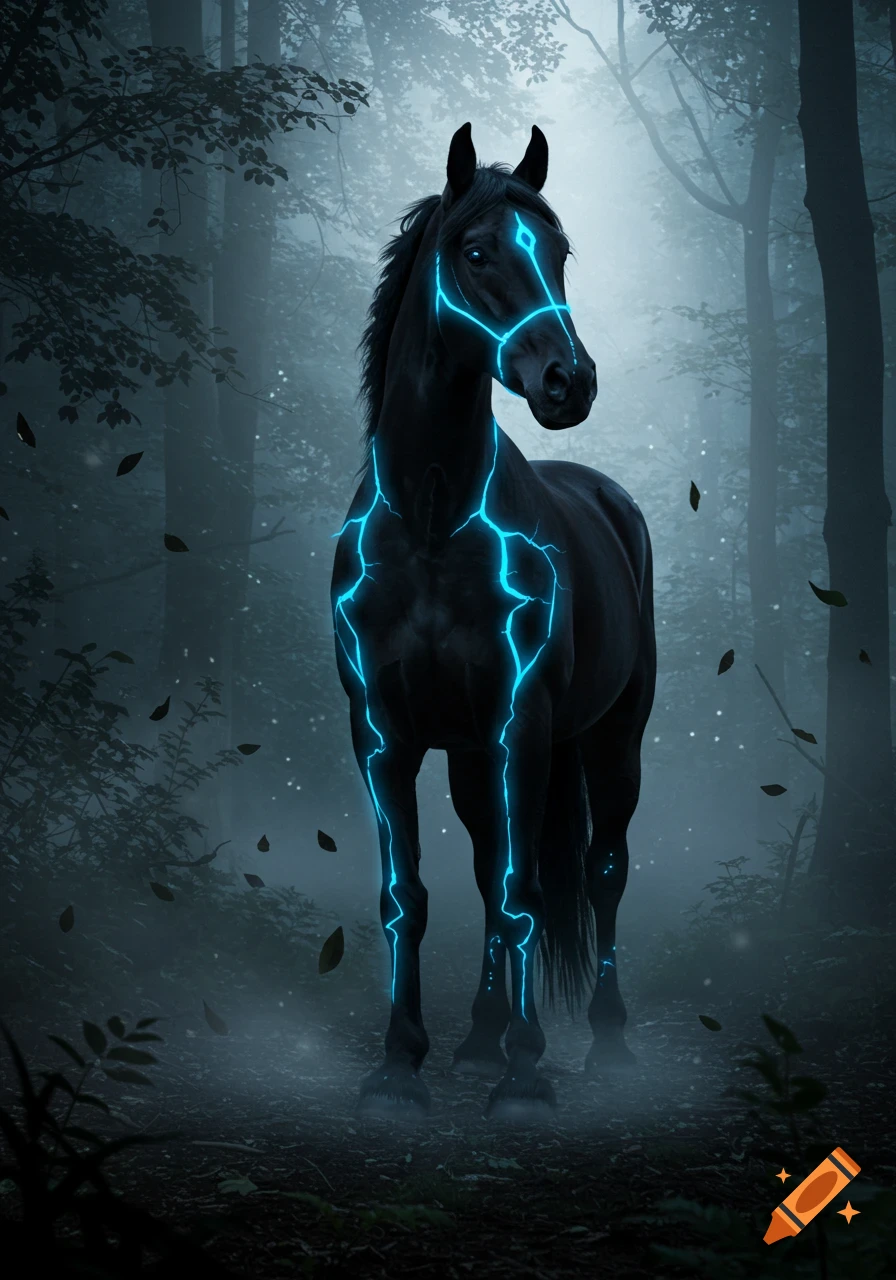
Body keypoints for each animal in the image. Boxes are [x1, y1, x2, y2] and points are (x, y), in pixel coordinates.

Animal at [331, 122, 655, 1122]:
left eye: (559, 253)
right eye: (475, 254)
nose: (568, 382)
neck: (434, 523)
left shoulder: (524, 727)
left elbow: (523, 893)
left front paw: (524, 1075)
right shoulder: (383, 736)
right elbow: (411, 894)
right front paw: (400, 1068)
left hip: (613, 739)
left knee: (602, 868)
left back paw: (605, 1046)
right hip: (473, 759)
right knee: (482, 869)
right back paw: (474, 1041)